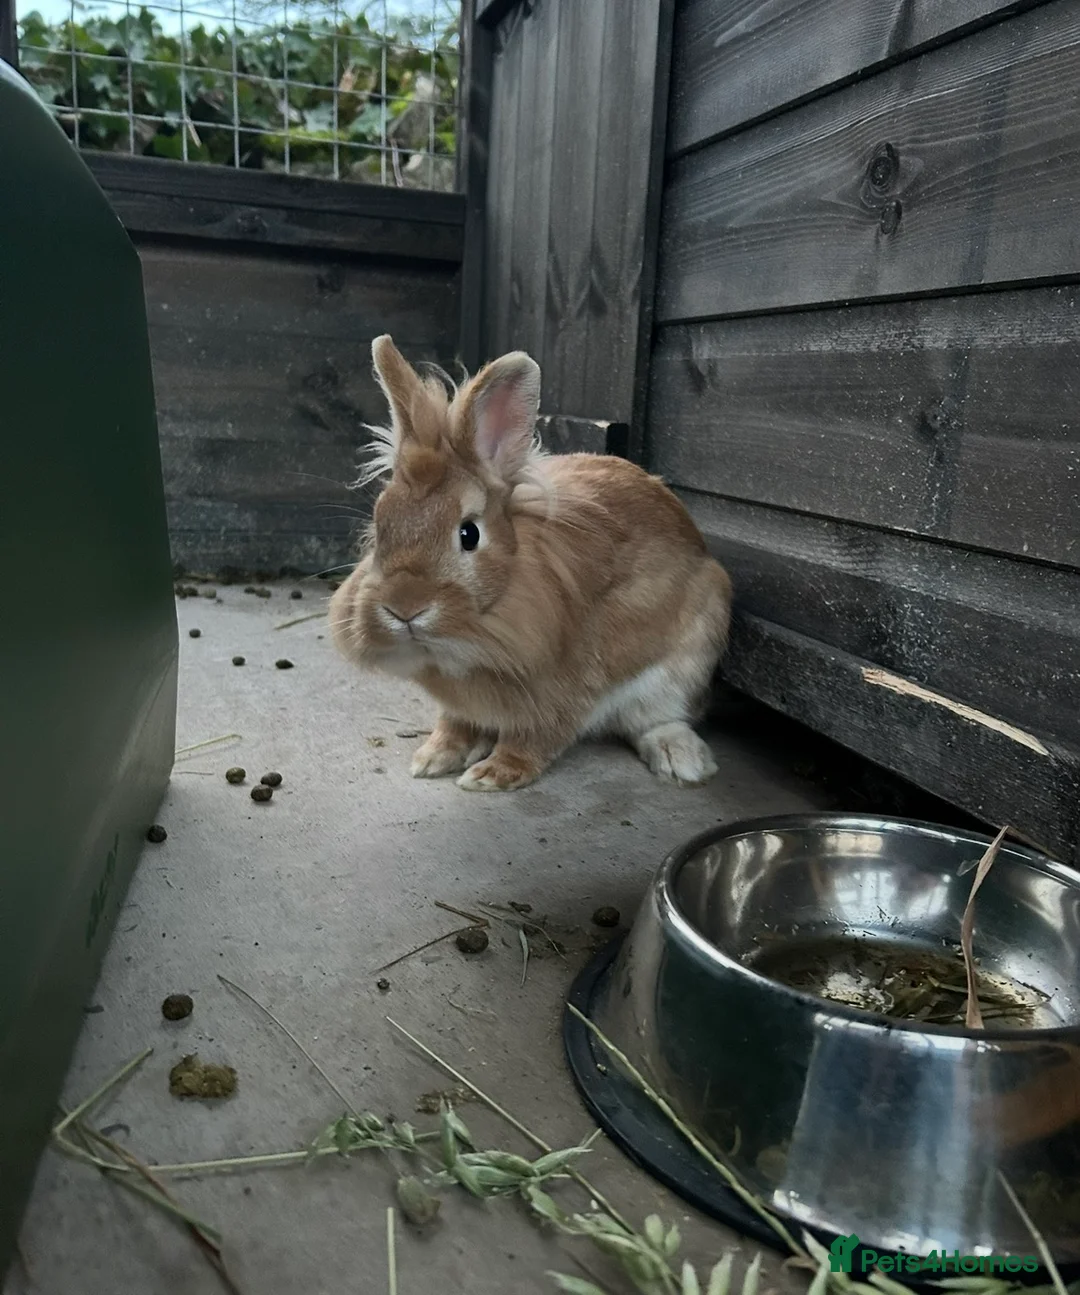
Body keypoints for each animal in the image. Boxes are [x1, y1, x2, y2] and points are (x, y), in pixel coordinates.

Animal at [328, 335, 733, 792]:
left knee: (657, 719)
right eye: (381, 527)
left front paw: (493, 774)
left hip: (685, 663)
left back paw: (681, 759)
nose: (403, 608)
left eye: (469, 534)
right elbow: (456, 723)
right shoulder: (461, 704)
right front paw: (434, 757)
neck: (470, 640)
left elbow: (537, 734)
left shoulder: (563, 688)